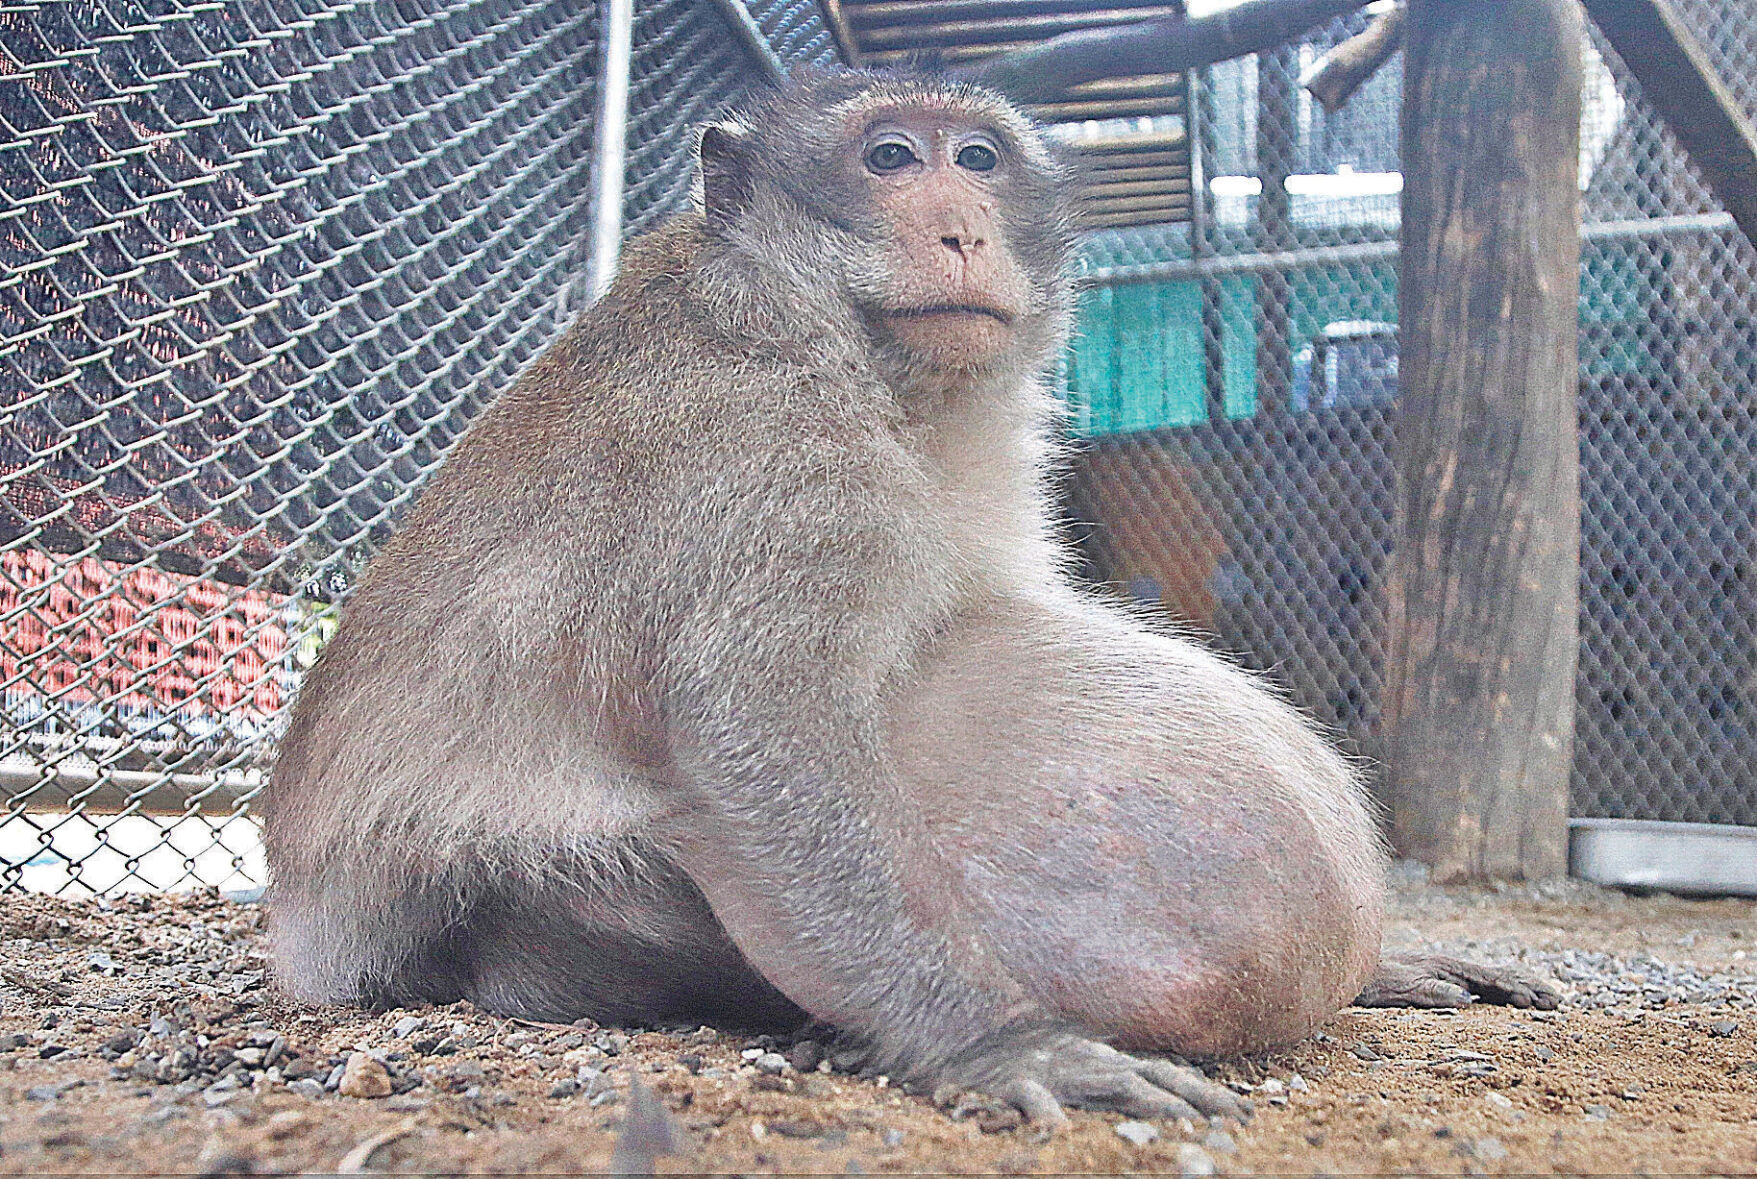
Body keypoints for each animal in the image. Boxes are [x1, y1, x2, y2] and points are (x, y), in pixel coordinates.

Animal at [263, 68, 1555, 1127]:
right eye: (889, 157)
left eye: (974, 159)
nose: (957, 225)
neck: (849, 354)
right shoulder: (773, 465)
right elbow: (756, 736)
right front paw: (996, 1043)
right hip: (509, 909)